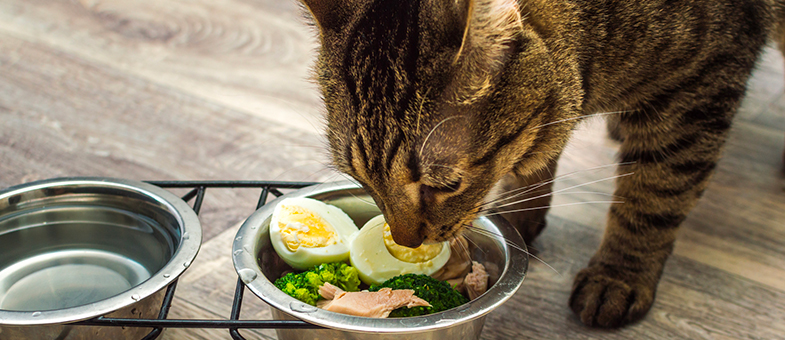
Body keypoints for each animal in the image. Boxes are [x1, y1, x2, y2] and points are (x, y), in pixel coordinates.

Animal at [298, 0, 780, 326]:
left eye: (446, 185)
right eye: (361, 180)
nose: (403, 243)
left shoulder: (697, 92)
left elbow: (654, 197)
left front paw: (618, 275)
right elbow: (535, 161)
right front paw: (519, 216)